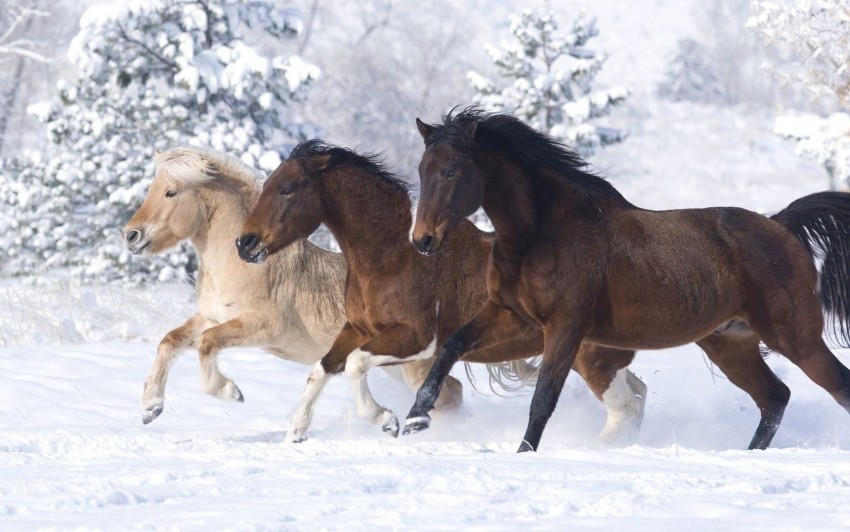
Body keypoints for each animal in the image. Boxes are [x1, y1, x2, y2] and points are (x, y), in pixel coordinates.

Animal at [122, 144, 460, 424]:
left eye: (171, 192)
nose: (130, 235)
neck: (241, 264)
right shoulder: (212, 317)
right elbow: (170, 340)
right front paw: (150, 407)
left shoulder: (264, 326)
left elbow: (206, 344)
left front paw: (231, 392)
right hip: (394, 367)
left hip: (412, 365)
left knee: (447, 396)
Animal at [235, 139, 644, 442]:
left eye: (287, 189)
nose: (244, 243)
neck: (392, 256)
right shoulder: (357, 330)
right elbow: (320, 370)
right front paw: (296, 432)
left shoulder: (416, 339)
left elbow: (354, 366)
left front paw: (387, 420)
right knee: (636, 397)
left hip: (591, 359)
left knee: (625, 408)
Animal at [400, 108, 848, 454]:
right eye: (422, 170)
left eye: (451, 170)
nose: (422, 241)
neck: (543, 231)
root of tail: (781, 226)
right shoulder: (509, 314)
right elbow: (451, 346)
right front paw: (415, 419)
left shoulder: (566, 327)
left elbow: (543, 398)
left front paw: (523, 455)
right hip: (731, 343)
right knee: (774, 398)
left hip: (795, 338)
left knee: (834, 387)